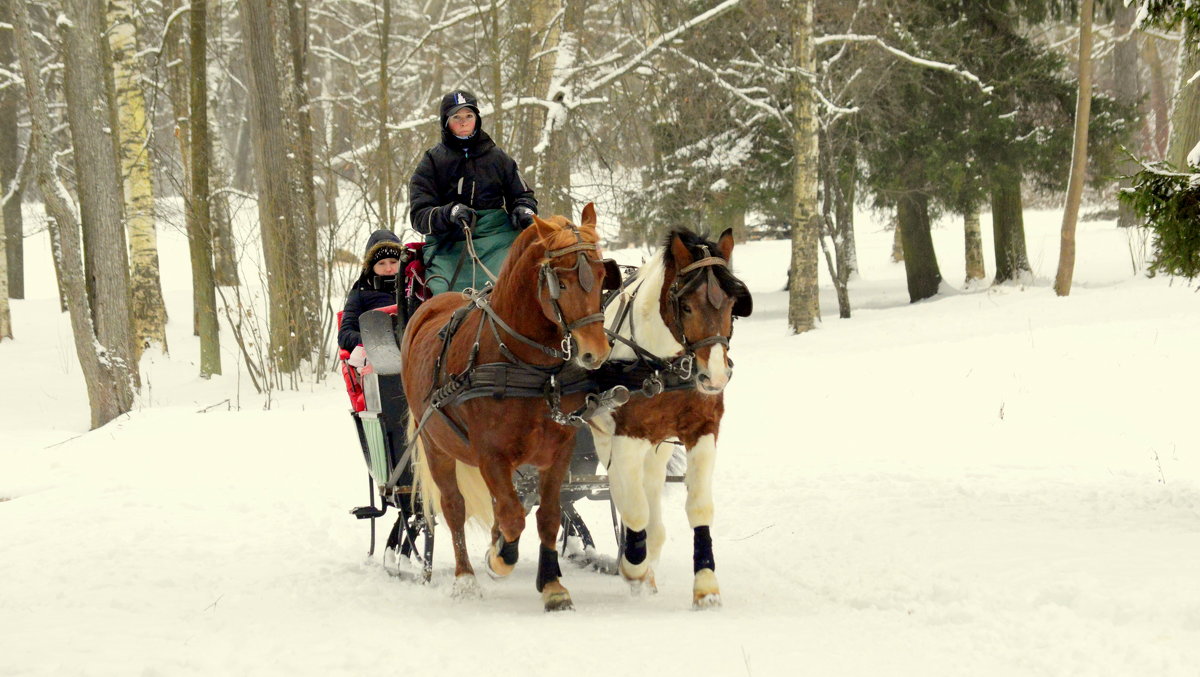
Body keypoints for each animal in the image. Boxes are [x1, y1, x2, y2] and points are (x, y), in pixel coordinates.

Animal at [400, 204, 619, 609]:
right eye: (561, 282)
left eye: (600, 276)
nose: (594, 352)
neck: (528, 366)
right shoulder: (490, 454)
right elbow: (513, 514)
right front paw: (500, 557)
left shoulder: (559, 450)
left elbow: (547, 515)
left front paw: (552, 585)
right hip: (437, 446)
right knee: (454, 508)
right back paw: (466, 577)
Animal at [590, 226, 748, 607]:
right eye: (687, 305)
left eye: (732, 305)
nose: (715, 377)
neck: (665, 366)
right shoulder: (627, 434)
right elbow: (633, 508)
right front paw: (633, 566)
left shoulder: (703, 429)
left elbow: (699, 507)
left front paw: (706, 586)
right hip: (604, 431)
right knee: (620, 486)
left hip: (658, 441)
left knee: (649, 484)